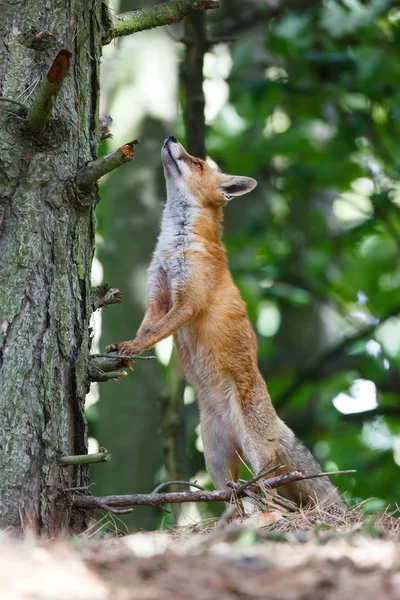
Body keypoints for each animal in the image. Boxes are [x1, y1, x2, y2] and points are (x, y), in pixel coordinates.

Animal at [106, 136, 344, 506]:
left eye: (197, 163)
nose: (171, 138)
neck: (175, 248)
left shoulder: (186, 303)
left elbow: (154, 333)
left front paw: (133, 348)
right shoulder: (157, 297)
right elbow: (146, 328)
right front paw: (126, 350)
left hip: (256, 456)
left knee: (272, 494)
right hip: (216, 460)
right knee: (230, 496)